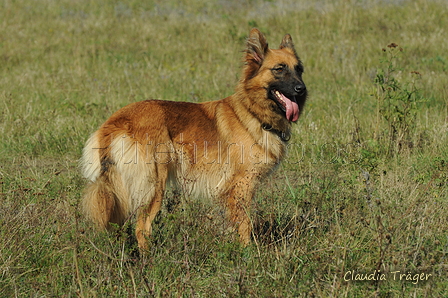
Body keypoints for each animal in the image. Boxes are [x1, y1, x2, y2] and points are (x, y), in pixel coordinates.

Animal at [79, 29, 304, 250]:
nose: (302, 89)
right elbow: (244, 224)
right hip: (154, 186)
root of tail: (115, 120)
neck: (252, 113)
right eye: (279, 69)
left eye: (299, 69)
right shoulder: (242, 185)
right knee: (142, 226)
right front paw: (247, 252)